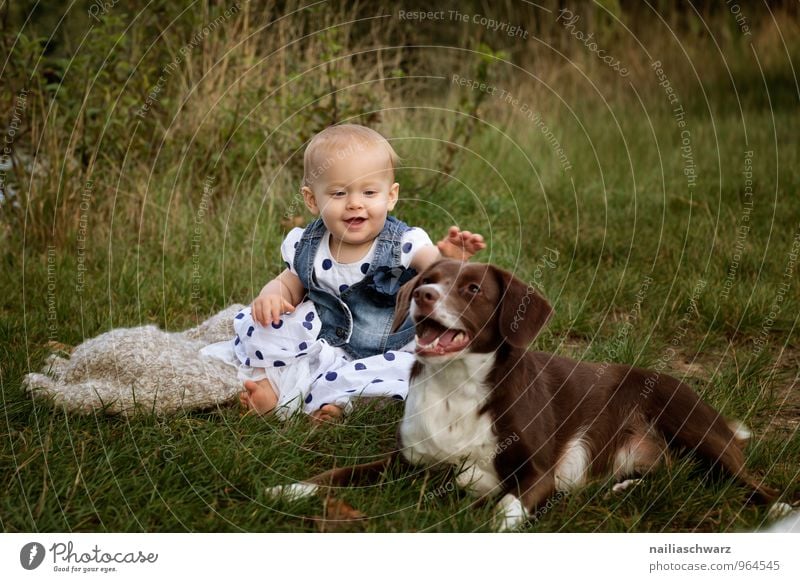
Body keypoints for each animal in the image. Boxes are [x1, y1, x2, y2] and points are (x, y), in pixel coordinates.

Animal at [266, 262, 780, 532]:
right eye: (429, 277)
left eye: (473, 288)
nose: (423, 295)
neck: (457, 385)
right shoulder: (406, 461)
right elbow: (339, 474)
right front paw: (291, 488)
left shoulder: (539, 473)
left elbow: (505, 508)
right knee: (671, 476)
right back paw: (626, 487)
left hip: (691, 423)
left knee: (745, 477)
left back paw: (775, 507)